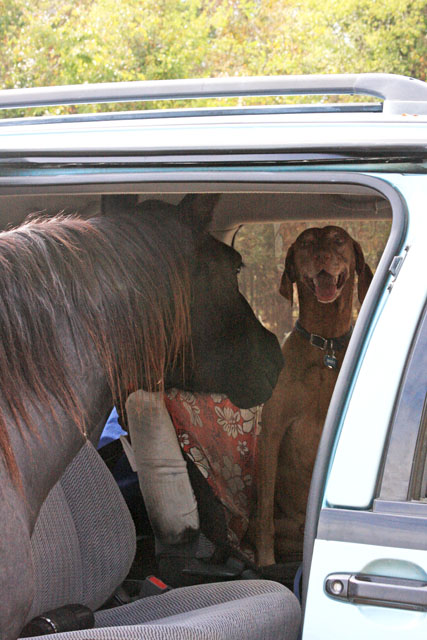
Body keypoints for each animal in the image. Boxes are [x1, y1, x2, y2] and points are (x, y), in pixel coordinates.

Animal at [254, 225, 373, 567]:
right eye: (306, 243)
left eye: (338, 239)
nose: (321, 256)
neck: (326, 344)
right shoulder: (272, 432)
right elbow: (265, 512)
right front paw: (265, 562)